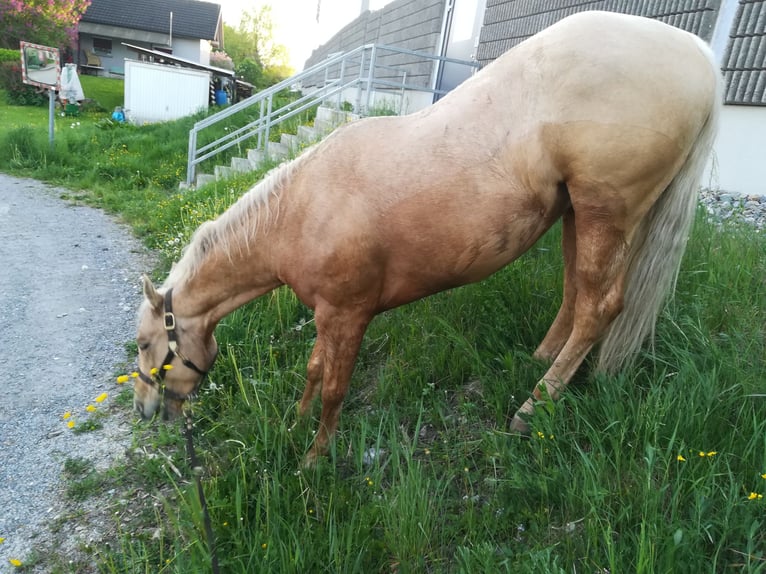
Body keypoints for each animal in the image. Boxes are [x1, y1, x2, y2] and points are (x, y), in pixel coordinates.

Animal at [136, 11, 720, 466]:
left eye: (144, 344)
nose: (145, 409)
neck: (303, 208)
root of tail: (700, 55)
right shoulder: (327, 315)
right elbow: (315, 370)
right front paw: (295, 425)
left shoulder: (347, 316)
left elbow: (335, 388)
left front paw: (314, 458)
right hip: (578, 211)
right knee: (577, 293)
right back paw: (541, 362)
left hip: (607, 210)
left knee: (600, 307)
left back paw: (533, 407)